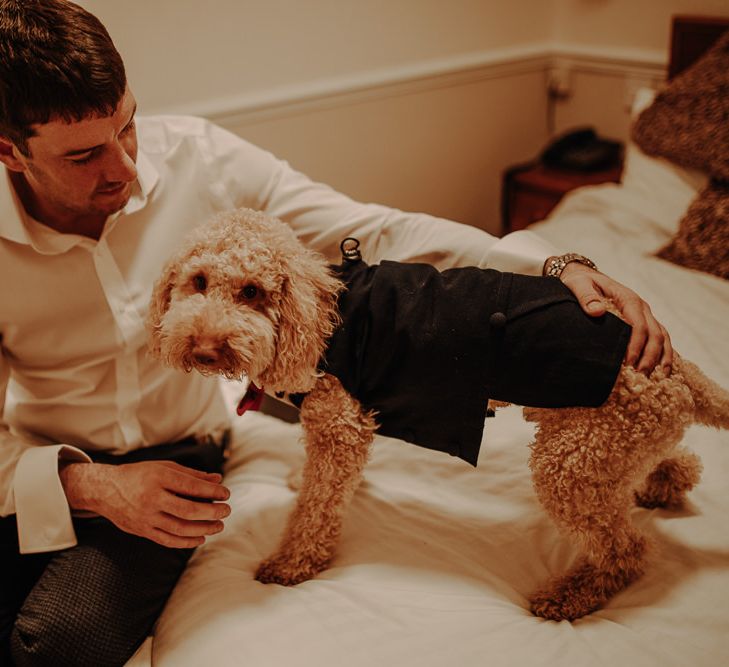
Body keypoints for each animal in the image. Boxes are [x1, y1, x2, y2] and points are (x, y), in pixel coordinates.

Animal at [148, 207, 728, 620]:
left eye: (252, 292)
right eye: (198, 282)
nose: (203, 348)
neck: (318, 316)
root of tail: (675, 367)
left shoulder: (340, 427)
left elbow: (317, 507)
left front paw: (293, 562)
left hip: (569, 464)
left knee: (625, 549)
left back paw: (573, 594)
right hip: (600, 441)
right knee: (668, 463)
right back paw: (663, 484)